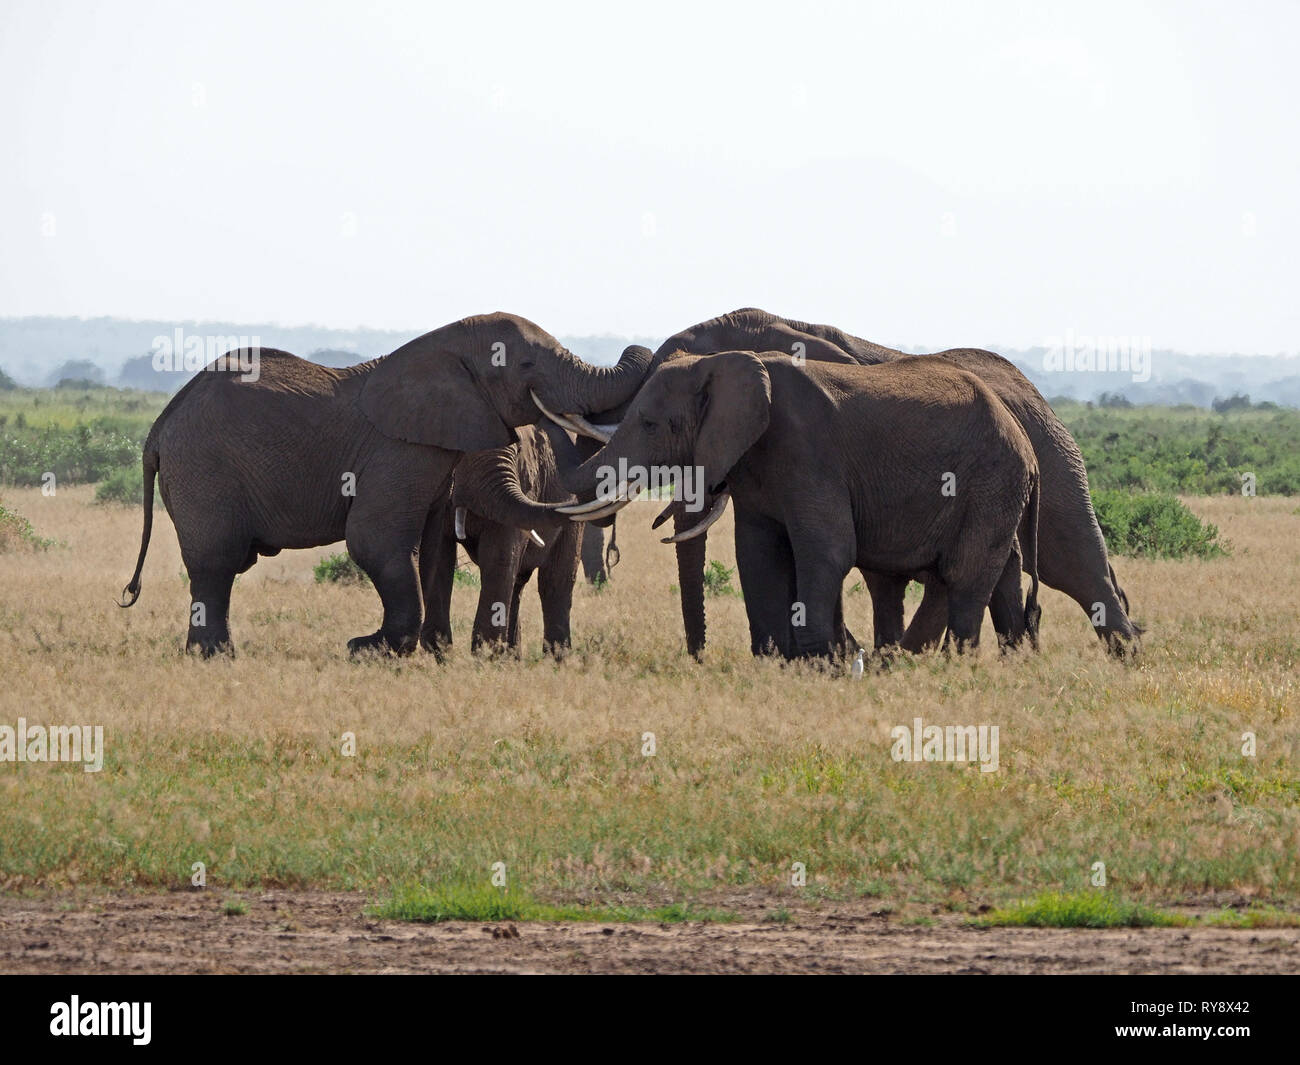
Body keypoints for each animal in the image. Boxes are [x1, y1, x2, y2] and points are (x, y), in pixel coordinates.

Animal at [419, 421, 605, 658]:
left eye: (517, 451)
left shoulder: (525, 482)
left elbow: (498, 555)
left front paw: (485, 657)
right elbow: (438, 556)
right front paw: (441, 655)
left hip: (572, 523)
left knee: (554, 581)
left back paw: (556, 659)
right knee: (517, 584)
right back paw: (512, 658)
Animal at [580, 309, 1137, 659]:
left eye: (651, 424)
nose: (697, 660)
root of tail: (1033, 391)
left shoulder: (812, 453)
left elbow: (827, 550)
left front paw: (820, 659)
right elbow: (758, 552)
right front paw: (785, 662)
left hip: (1038, 465)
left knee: (1066, 567)